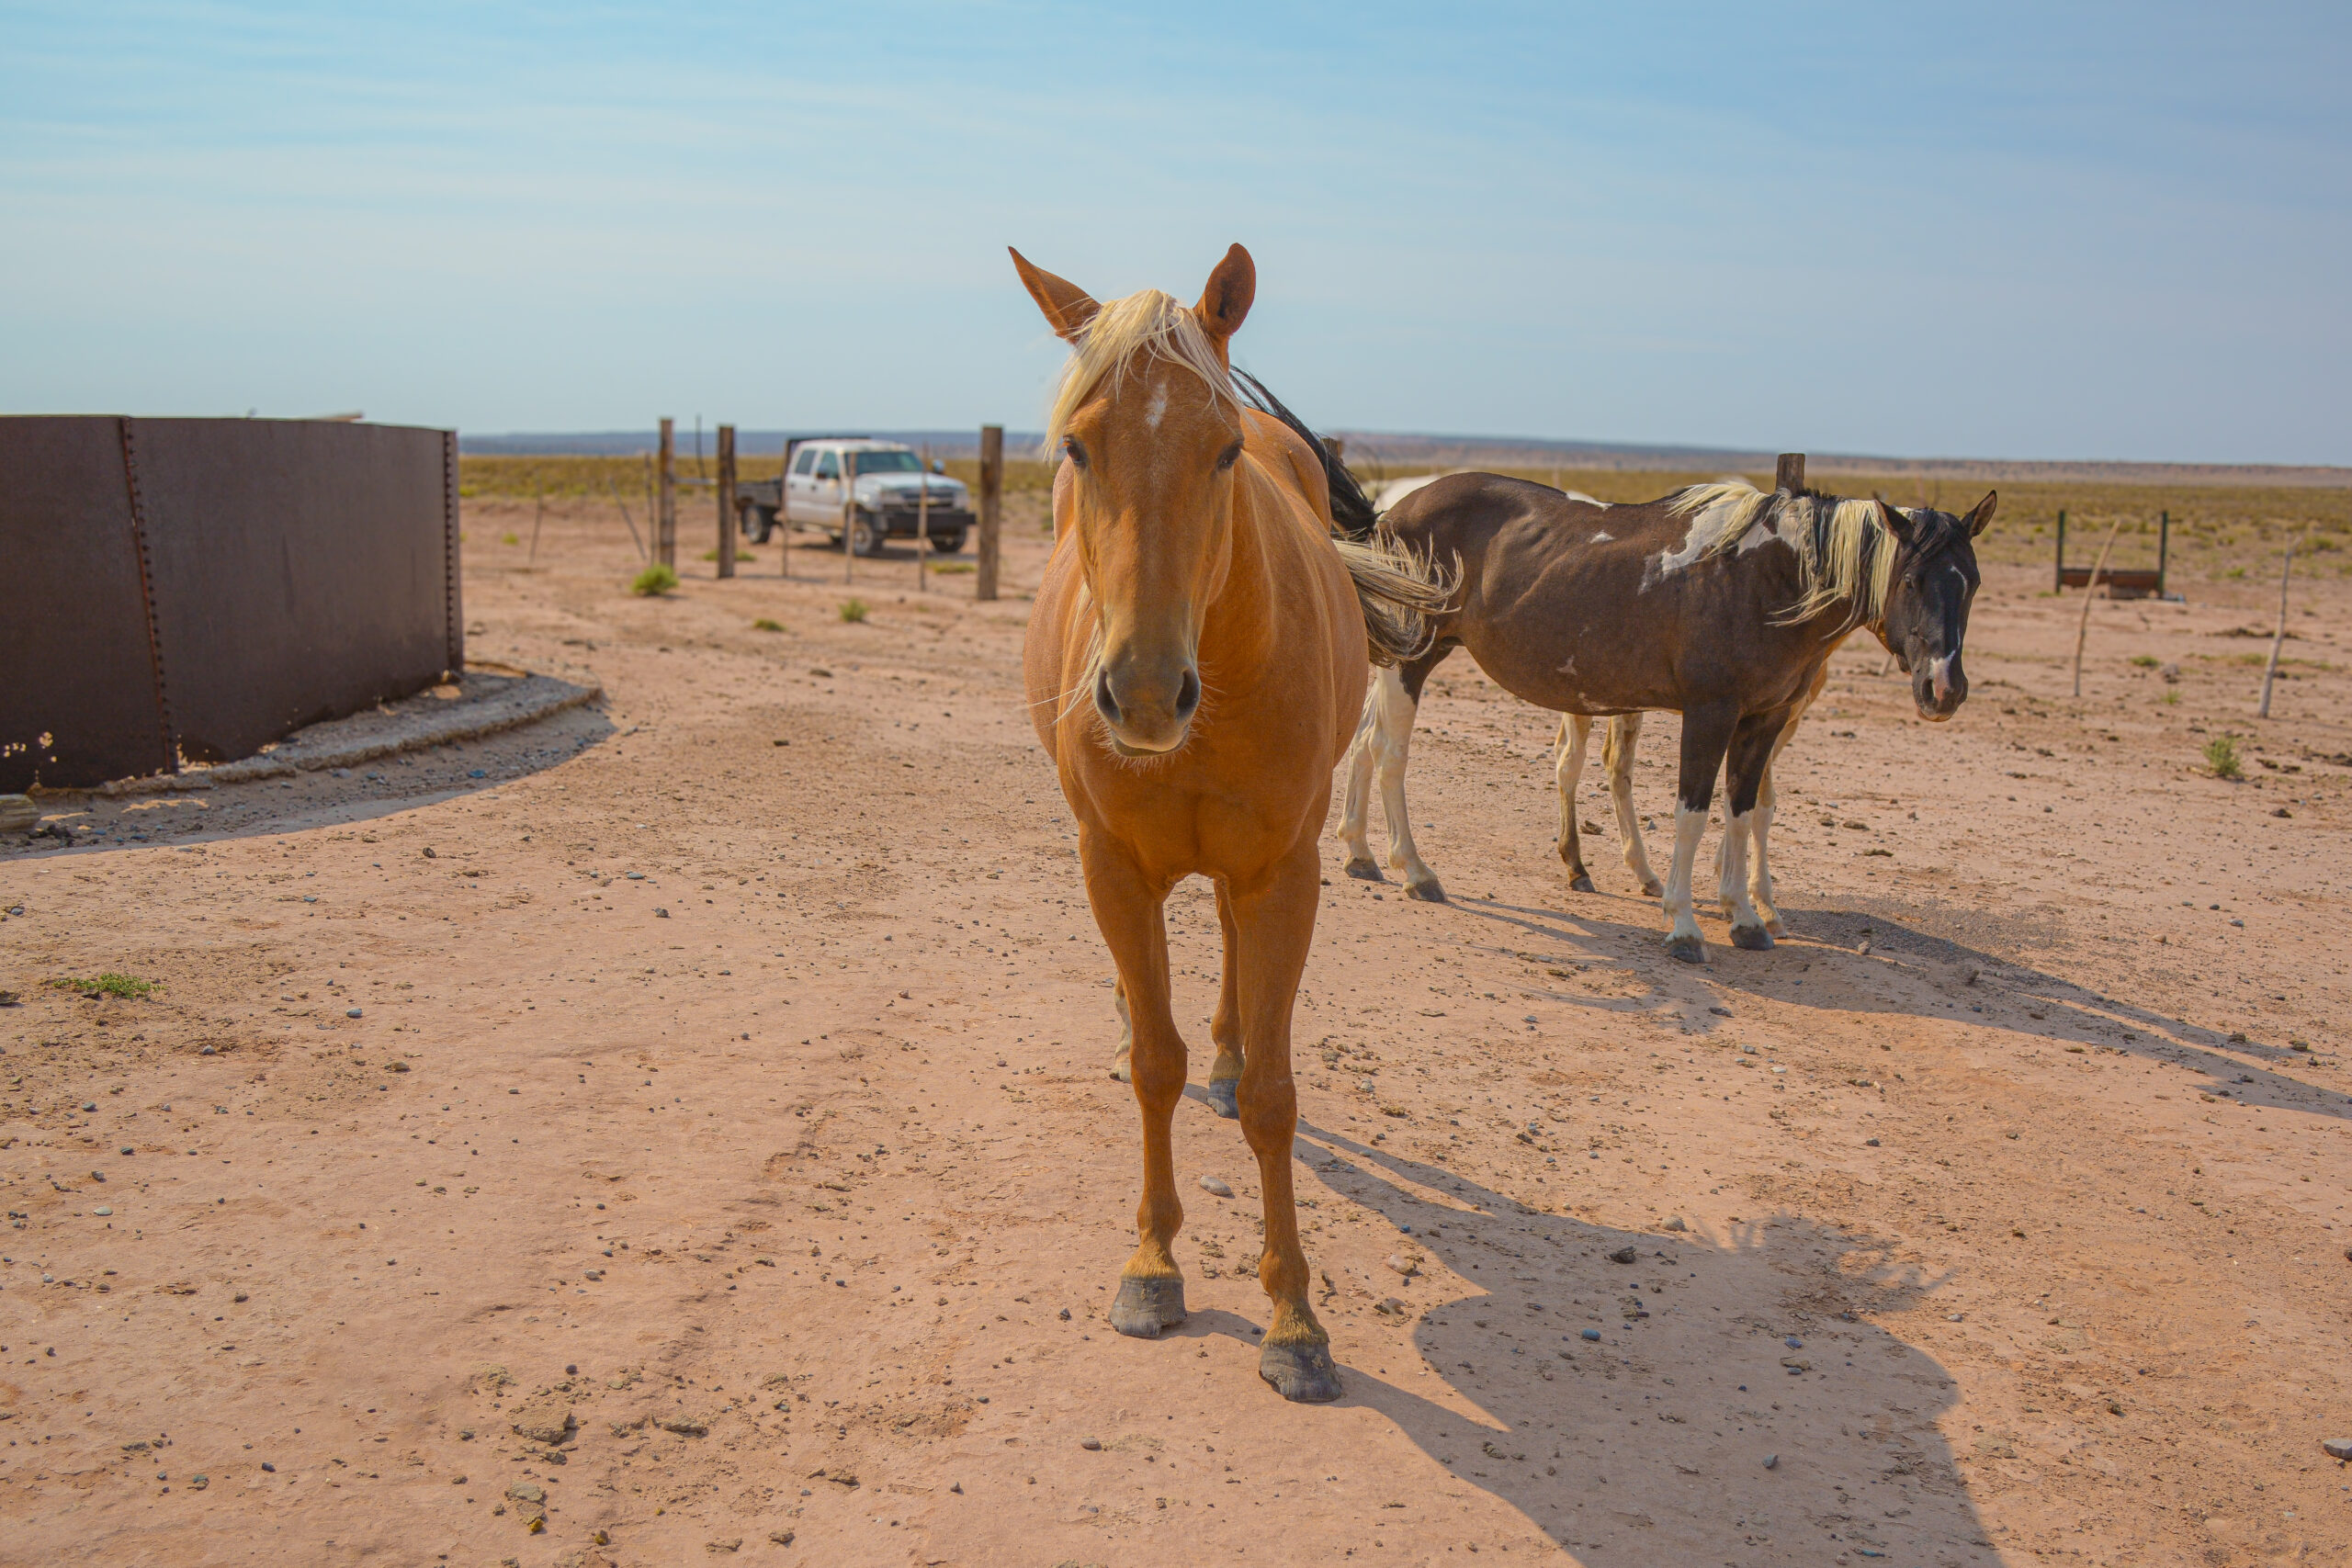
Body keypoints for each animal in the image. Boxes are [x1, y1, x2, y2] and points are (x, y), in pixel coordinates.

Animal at [1012, 243, 1450, 1402]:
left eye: (1218, 453)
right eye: (1077, 445)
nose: (1141, 693)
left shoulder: (1284, 876)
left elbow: (1270, 1096)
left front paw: (1295, 1319)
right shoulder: (1111, 867)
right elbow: (1152, 1072)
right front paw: (1152, 1267)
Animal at [1337, 471, 1992, 960]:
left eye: (1973, 582)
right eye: (1912, 578)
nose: (1944, 688)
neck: (1765, 577)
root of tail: (1390, 514)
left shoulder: (1763, 721)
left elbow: (1742, 812)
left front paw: (1745, 917)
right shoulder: (1709, 714)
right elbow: (1692, 815)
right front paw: (1683, 926)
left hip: (1398, 655)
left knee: (1366, 743)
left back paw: (1360, 853)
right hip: (1413, 658)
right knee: (1391, 754)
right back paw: (1415, 871)